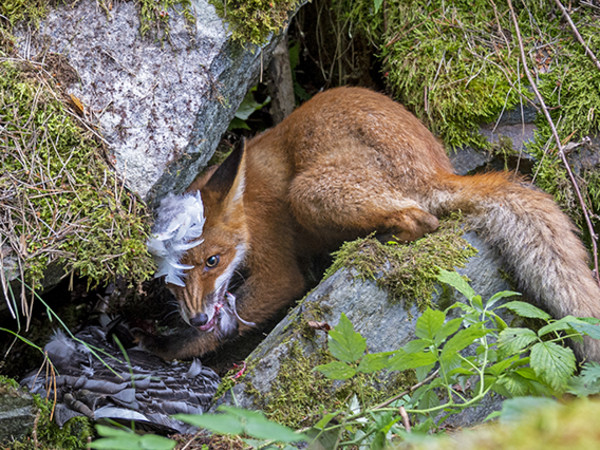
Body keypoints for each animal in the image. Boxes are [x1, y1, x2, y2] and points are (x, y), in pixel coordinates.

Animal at [144, 86, 600, 360]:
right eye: (172, 278)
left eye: (213, 261)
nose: (196, 317)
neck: (249, 206)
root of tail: (436, 168)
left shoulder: (278, 269)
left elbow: (231, 320)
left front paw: (165, 347)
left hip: (308, 192)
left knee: (421, 219)